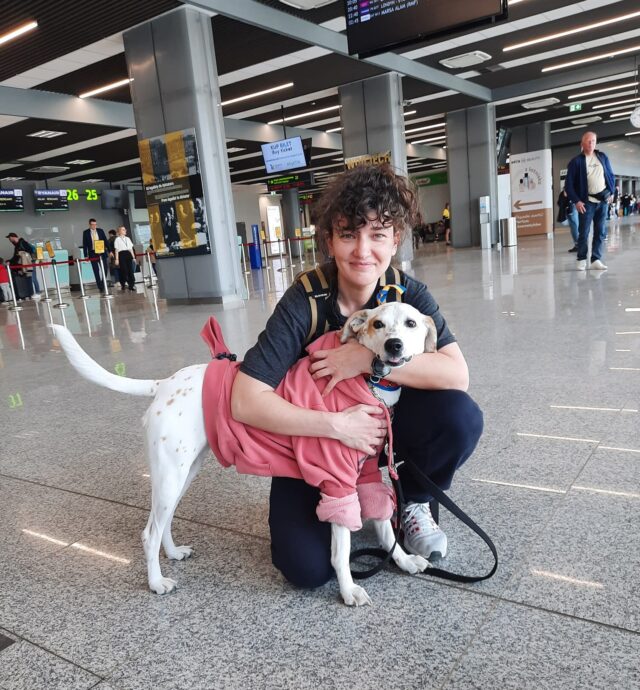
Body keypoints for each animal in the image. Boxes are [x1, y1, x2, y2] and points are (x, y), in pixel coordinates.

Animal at [52, 304, 438, 604]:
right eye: (377, 324)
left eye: (411, 323)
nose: (393, 345)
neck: (371, 385)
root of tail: (165, 383)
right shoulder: (337, 481)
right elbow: (341, 553)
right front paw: (348, 591)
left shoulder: (367, 474)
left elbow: (386, 528)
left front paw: (403, 560)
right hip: (170, 475)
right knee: (149, 532)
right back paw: (156, 582)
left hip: (183, 473)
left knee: (164, 523)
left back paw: (173, 553)